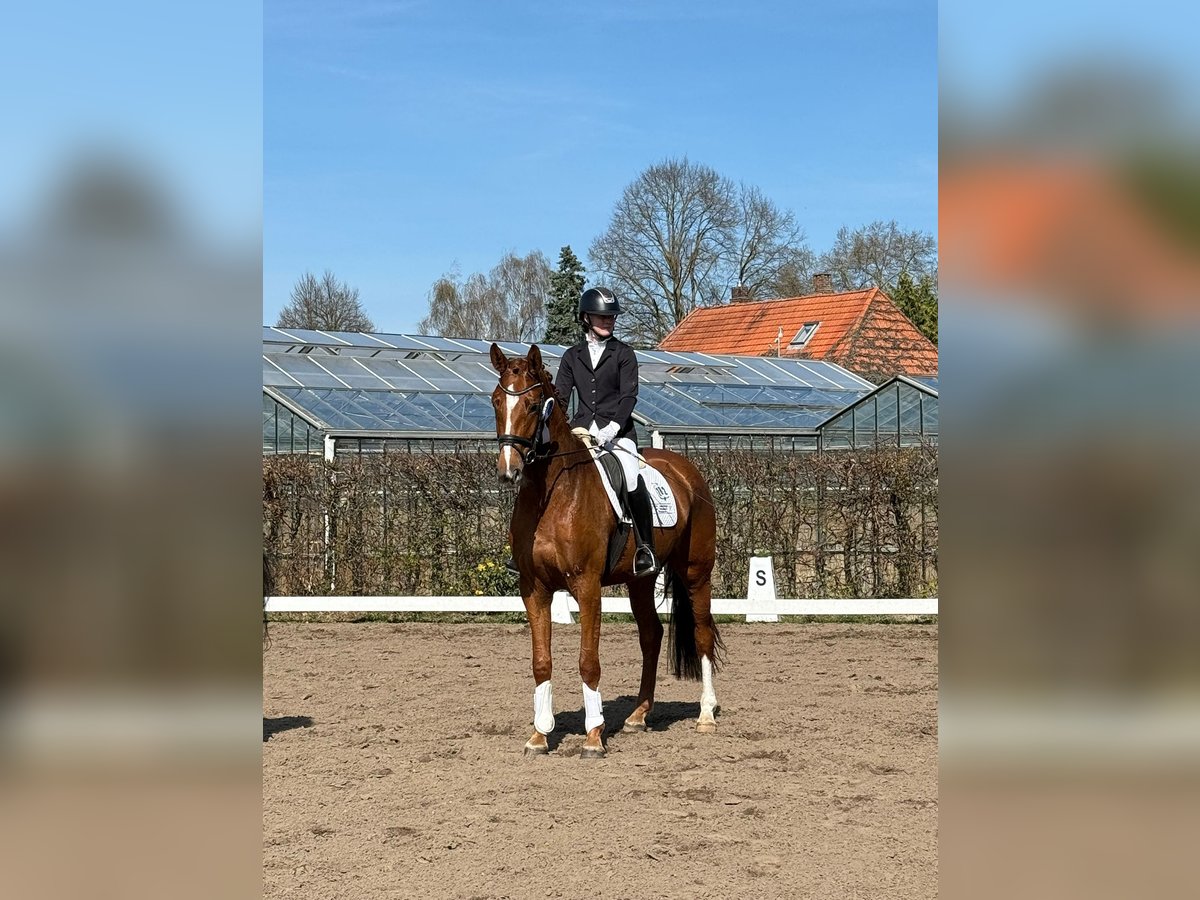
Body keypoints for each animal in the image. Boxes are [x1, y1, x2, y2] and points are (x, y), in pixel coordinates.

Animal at [489, 342, 725, 758]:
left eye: (532, 405)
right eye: (496, 401)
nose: (508, 471)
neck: (551, 494)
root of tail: (685, 468)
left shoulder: (586, 586)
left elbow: (588, 661)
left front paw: (593, 736)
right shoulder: (534, 589)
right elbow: (541, 662)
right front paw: (539, 735)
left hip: (696, 572)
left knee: (701, 632)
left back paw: (705, 715)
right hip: (640, 580)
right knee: (651, 636)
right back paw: (639, 716)